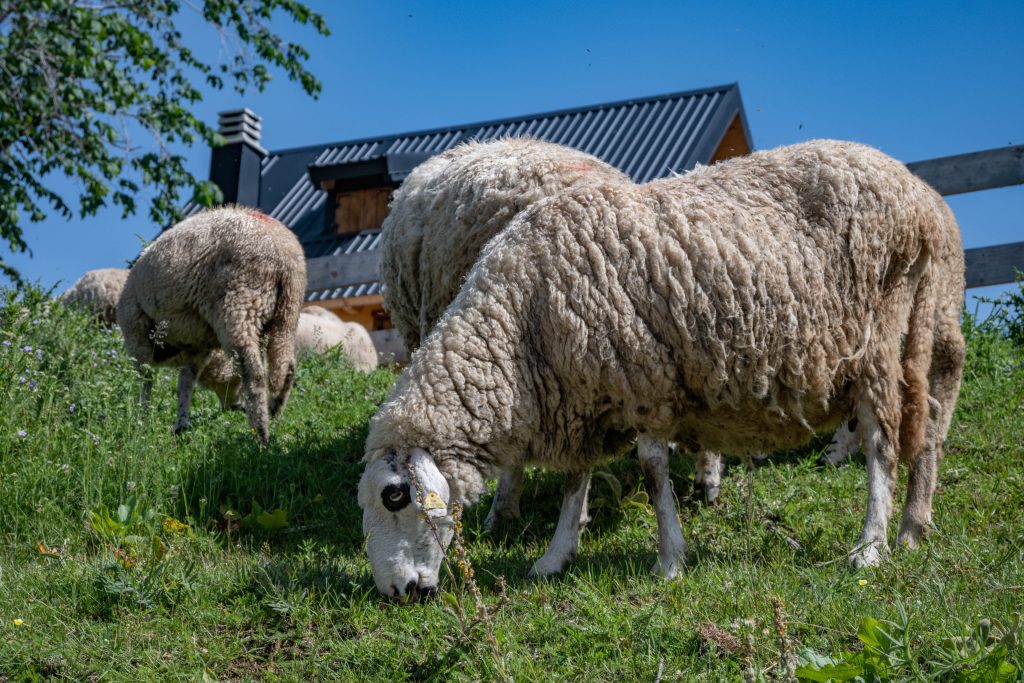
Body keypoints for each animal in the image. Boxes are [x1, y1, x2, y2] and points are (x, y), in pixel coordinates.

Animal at [117, 205, 305, 446]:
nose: (236, 407)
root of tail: (283, 253)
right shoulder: (199, 346)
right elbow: (185, 381)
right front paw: (180, 425)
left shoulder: (138, 334)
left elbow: (147, 380)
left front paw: (142, 419)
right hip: (286, 314)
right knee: (286, 365)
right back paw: (275, 411)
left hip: (240, 303)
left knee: (253, 371)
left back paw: (260, 434)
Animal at [360, 140, 966, 598]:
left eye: (395, 496)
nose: (398, 593)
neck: (523, 321)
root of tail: (922, 199)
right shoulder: (585, 388)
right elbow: (575, 479)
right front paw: (555, 556)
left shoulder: (644, 382)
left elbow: (652, 473)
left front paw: (670, 559)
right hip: (923, 317)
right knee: (932, 416)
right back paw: (914, 526)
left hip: (879, 332)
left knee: (884, 439)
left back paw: (871, 545)